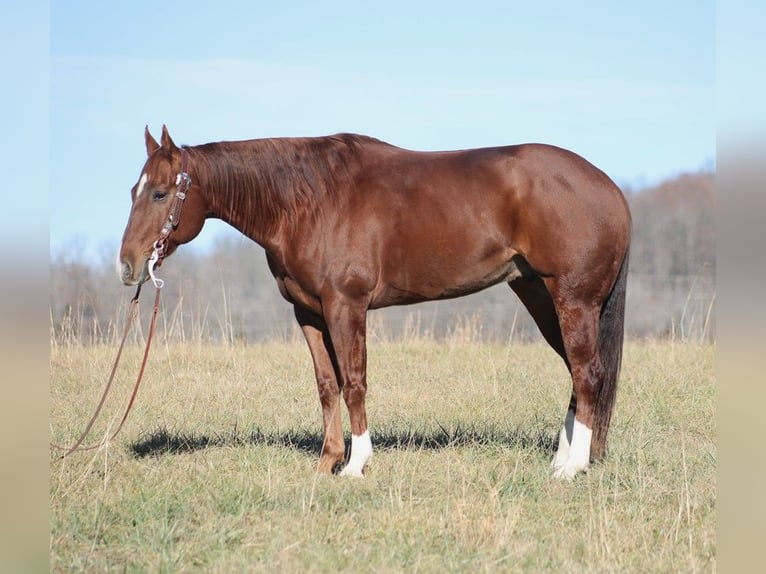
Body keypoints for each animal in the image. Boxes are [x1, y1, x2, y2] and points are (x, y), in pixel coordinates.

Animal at [118, 126, 632, 482]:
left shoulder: (345, 305)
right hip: (538, 295)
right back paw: (561, 460)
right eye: (132, 190)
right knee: (576, 373)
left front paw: (355, 464)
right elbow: (327, 386)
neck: (308, 201)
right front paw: (326, 463)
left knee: (588, 373)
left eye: (160, 192)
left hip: (573, 299)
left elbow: (354, 382)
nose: (128, 266)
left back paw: (573, 468)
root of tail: (611, 190)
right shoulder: (308, 312)